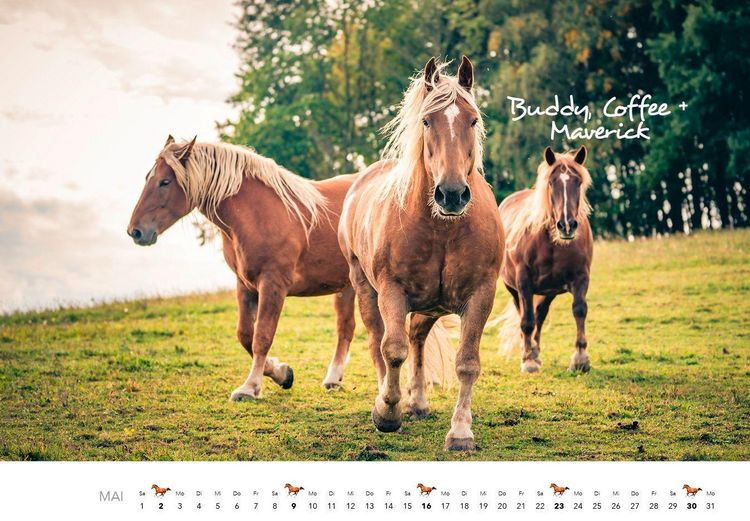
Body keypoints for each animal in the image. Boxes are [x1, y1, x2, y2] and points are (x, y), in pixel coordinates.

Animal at [128, 137, 359, 399]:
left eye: (165, 182)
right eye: (148, 178)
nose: (135, 231)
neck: (257, 213)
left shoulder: (273, 284)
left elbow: (262, 336)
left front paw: (250, 387)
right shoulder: (245, 284)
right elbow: (245, 335)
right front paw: (281, 372)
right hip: (346, 287)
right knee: (345, 328)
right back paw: (333, 378)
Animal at [339, 56, 503, 451]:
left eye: (472, 120)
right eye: (428, 121)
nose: (452, 193)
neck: (442, 229)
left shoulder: (481, 295)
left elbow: (467, 362)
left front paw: (460, 431)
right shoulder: (392, 291)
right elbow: (392, 350)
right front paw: (387, 413)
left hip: (432, 305)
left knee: (416, 338)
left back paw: (417, 403)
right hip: (367, 289)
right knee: (380, 342)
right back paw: (392, 401)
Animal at [495, 146, 593, 373]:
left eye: (578, 182)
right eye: (551, 182)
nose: (567, 225)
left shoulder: (581, 277)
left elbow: (579, 310)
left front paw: (580, 358)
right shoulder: (523, 282)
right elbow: (526, 321)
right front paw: (528, 360)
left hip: (549, 292)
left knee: (539, 315)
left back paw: (535, 350)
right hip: (513, 289)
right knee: (525, 315)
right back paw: (528, 352)